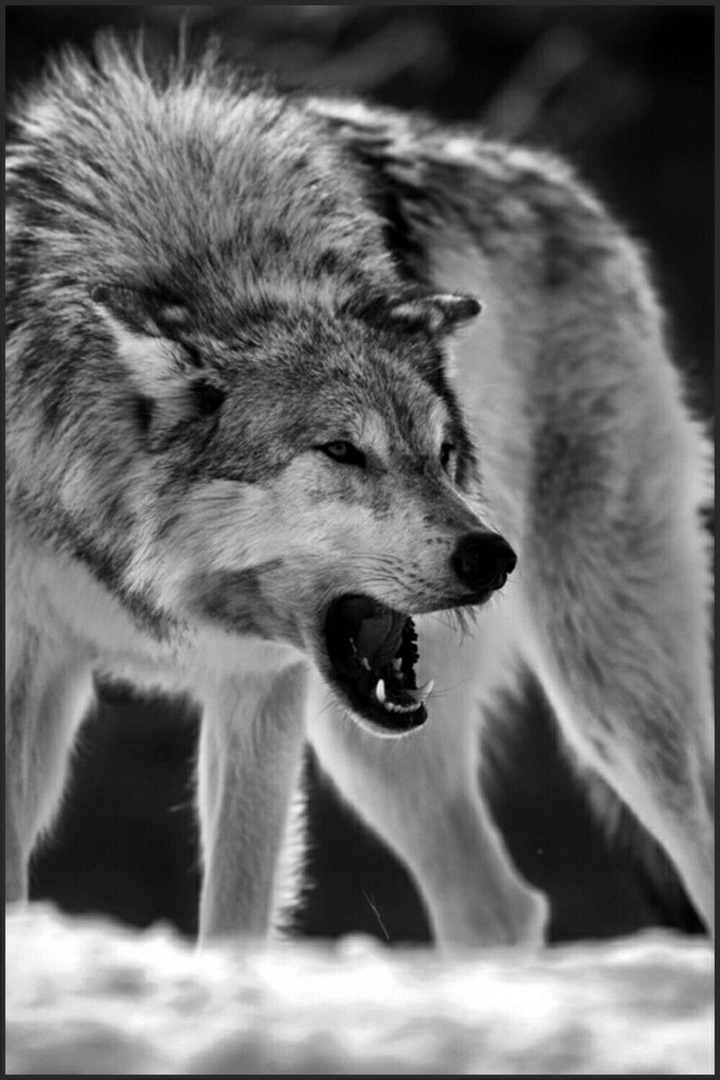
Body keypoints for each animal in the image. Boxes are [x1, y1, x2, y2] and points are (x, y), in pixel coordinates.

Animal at [6, 38, 713, 946]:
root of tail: (558, 182)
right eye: (343, 451)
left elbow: (237, 916)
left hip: (603, 694)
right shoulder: (31, 671)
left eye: (444, 453)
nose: (492, 557)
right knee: (498, 904)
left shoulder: (257, 684)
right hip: (380, 748)